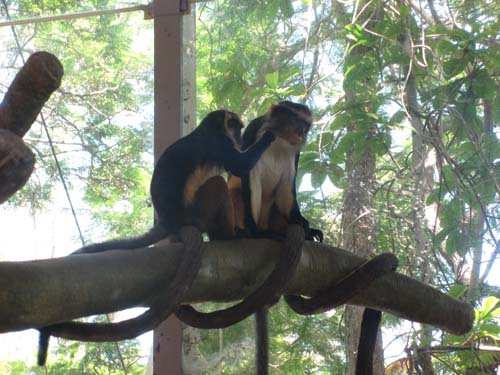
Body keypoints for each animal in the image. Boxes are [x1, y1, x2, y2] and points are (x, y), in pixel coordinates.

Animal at [36, 109, 276, 368]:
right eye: (237, 128)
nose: (240, 139)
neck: (209, 128)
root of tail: (169, 221)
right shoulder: (218, 142)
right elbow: (239, 166)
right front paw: (268, 134)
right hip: (196, 212)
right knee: (217, 184)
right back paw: (226, 237)